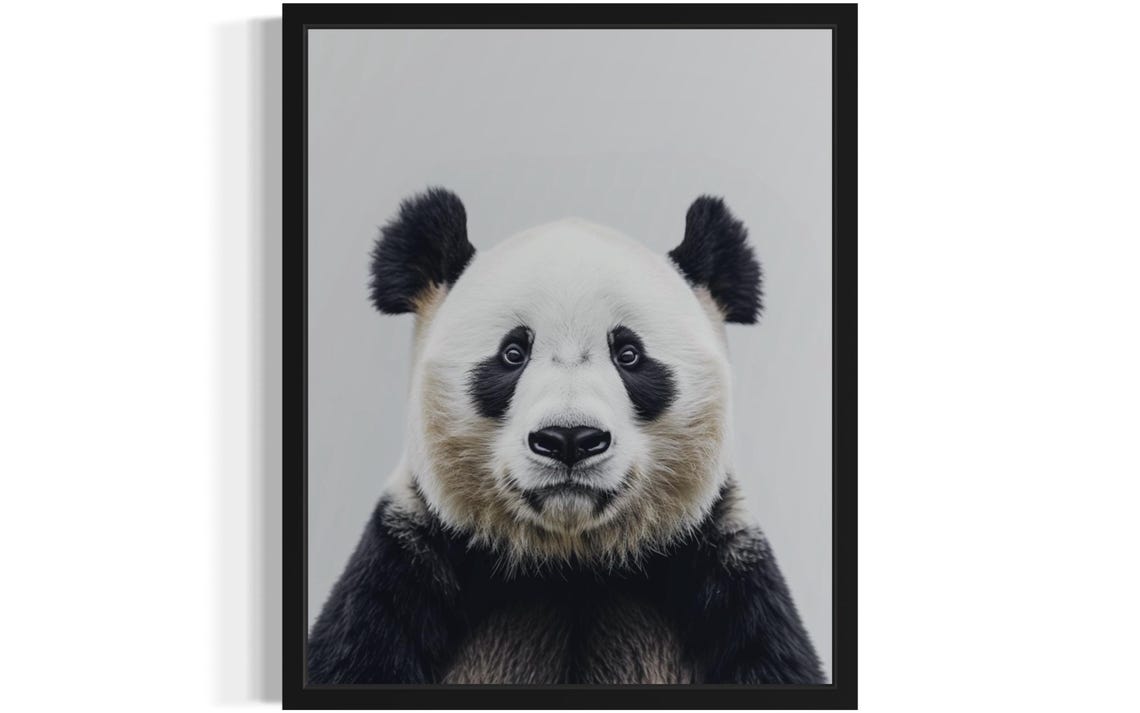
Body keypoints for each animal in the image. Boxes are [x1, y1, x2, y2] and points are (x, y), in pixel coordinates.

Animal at [307, 188, 825, 685]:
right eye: (512, 353)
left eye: (630, 354)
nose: (570, 439)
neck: (570, 563)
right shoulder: (408, 562)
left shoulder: (723, 567)